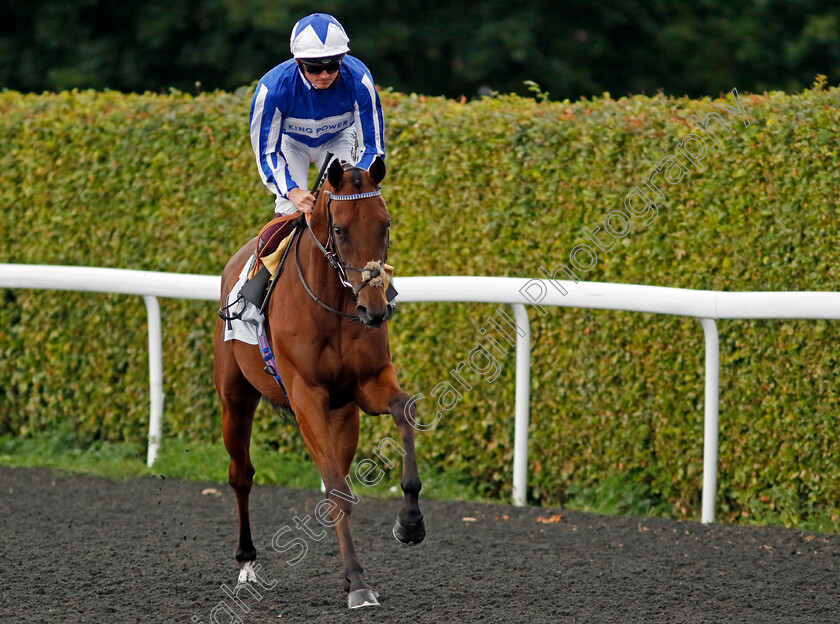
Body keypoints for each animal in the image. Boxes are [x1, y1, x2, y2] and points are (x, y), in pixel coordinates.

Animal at [213, 157, 424, 608]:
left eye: (385, 224)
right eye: (340, 229)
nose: (375, 310)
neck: (333, 302)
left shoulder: (368, 384)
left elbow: (405, 408)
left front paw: (410, 522)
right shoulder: (305, 395)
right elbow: (337, 491)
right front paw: (359, 582)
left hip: (343, 414)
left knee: (335, 475)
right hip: (235, 399)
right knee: (241, 474)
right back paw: (247, 564)